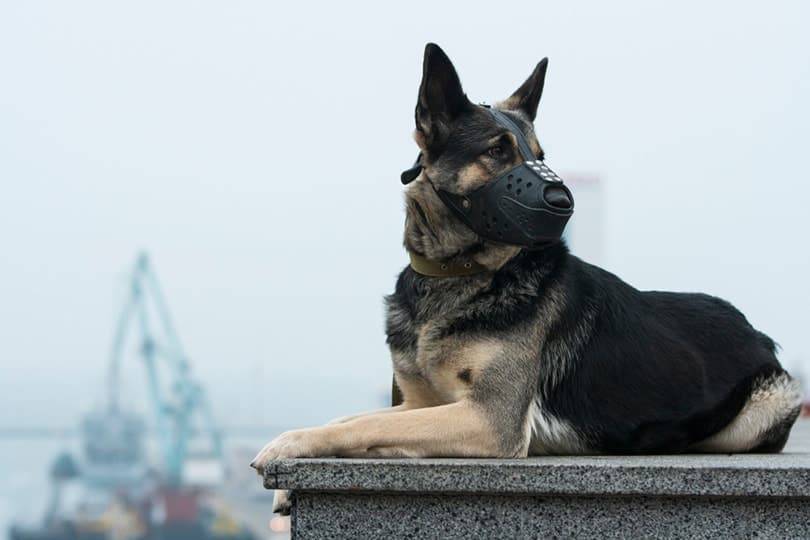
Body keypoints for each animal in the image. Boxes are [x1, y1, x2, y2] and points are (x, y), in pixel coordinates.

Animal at [252, 44, 800, 512]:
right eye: (497, 151)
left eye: (539, 153)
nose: (562, 201)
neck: (458, 277)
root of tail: (756, 332)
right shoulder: (421, 404)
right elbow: (351, 418)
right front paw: (290, 477)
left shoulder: (489, 418)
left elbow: (357, 425)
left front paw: (287, 445)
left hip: (764, 408)